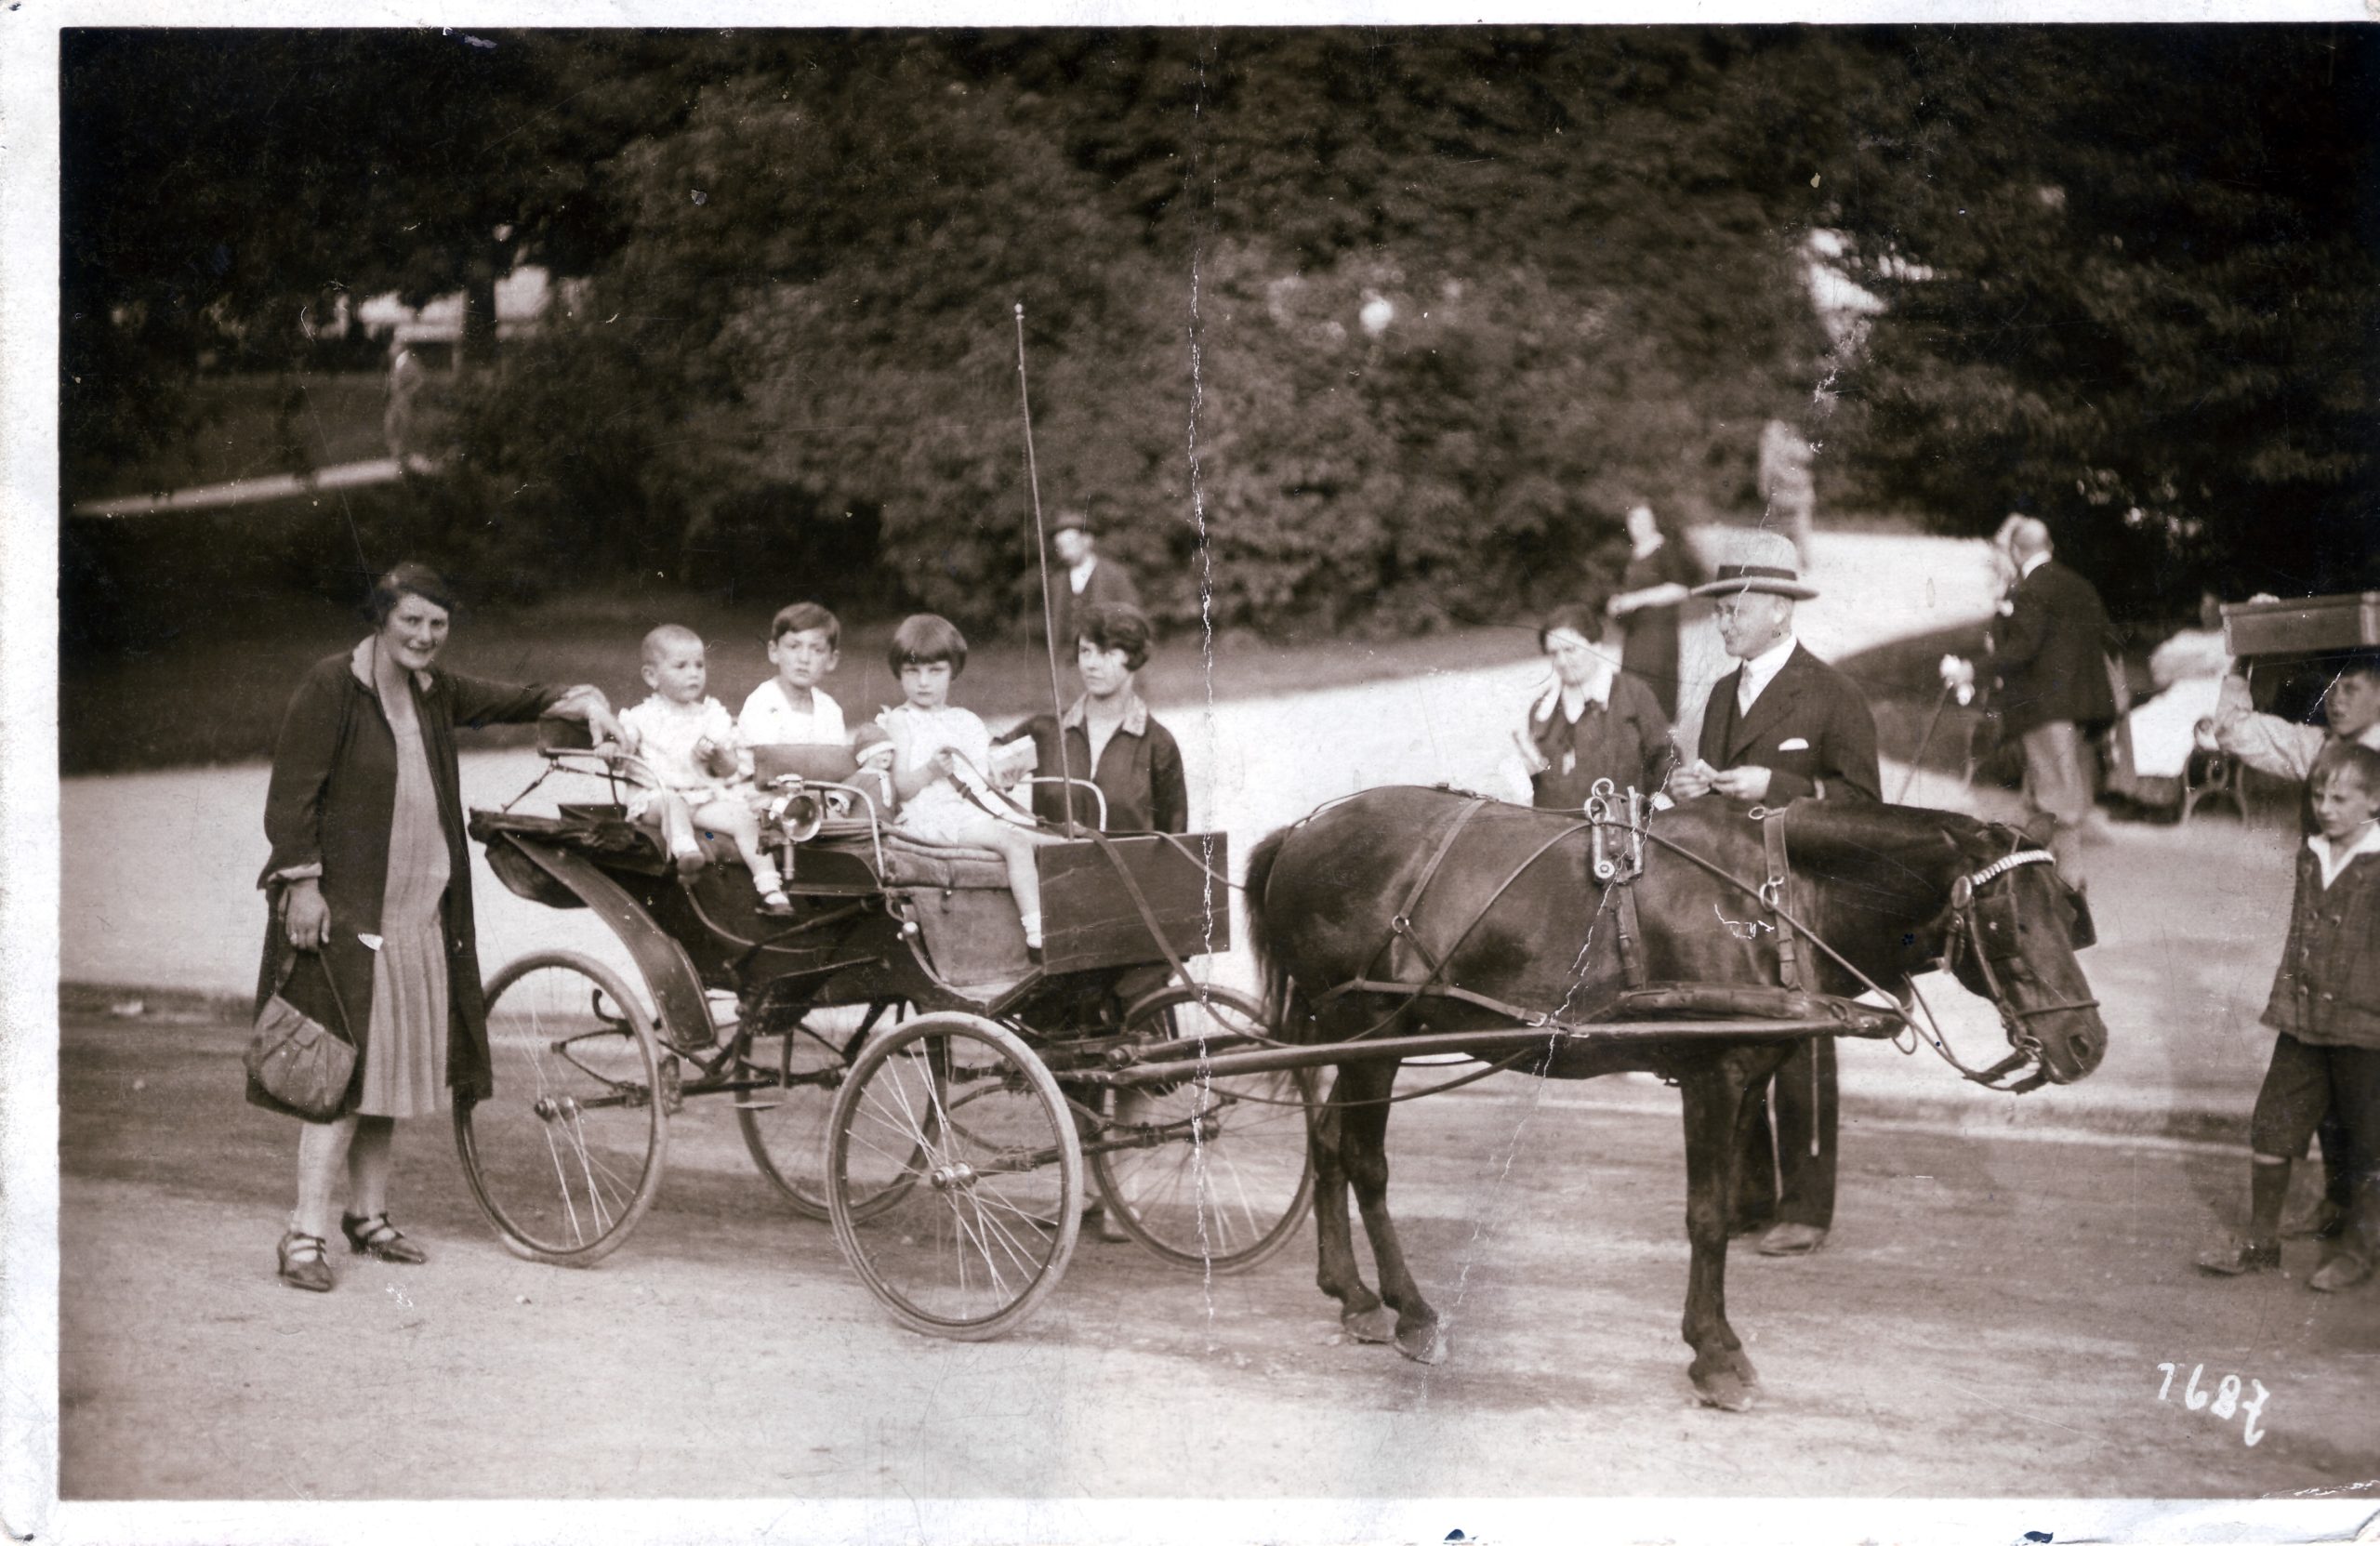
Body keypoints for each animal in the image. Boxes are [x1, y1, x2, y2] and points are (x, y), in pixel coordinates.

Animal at [1243, 785, 2107, 1411]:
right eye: (2010, 920)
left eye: (2069, 914)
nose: (2086, 1042)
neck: (1772, 899)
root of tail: (1304, 830)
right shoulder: (1711, 1074)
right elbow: (1708, 1216)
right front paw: (1716, 1353)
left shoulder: (1747, 1072)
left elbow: (1720, 1205)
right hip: (1368, 1026)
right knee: (1363, 1158)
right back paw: (1411, 1308)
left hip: (1359, 1037)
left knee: (1327, 1142)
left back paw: (1353, 1294)